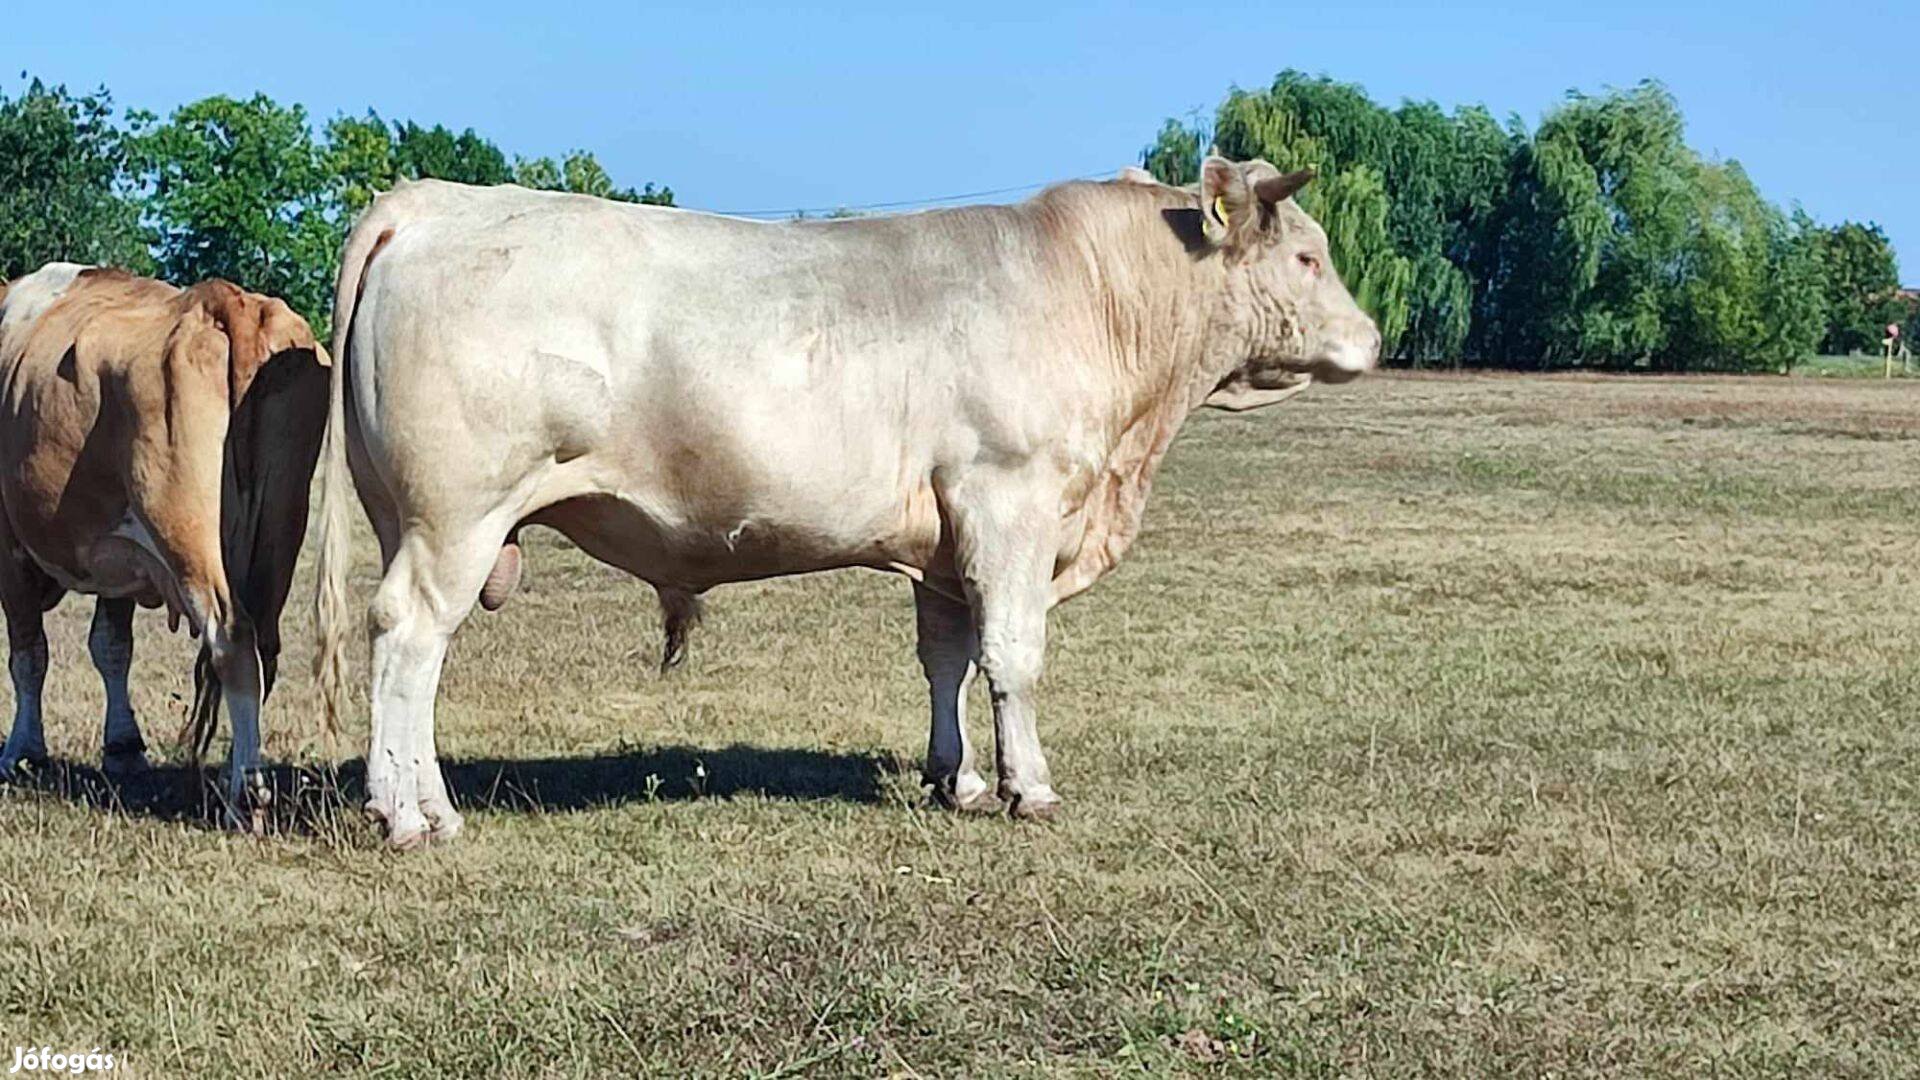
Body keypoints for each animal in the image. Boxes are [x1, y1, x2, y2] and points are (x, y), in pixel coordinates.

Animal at [0, 261, 328, 814]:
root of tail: (224, 300)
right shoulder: (114, 551)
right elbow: (111, 646)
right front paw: (123, 747)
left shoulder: (11, 548)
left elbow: (29, 656)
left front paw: (24, 752)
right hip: (281, 524)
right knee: (264, 643)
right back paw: (242, 766)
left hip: (185, 533)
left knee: (232, 636)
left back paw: (246, 789)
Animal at [314, 155, 1374, 845]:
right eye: (1308, 257)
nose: (1369, 341)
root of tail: (434, 201)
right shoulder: (1011, 500)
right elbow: (1013, 656)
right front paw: (1028, 788)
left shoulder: (947, 539)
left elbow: (947, 658)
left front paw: (958, 779)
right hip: (455, 519)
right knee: (408, 639)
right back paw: (409, 815)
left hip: (407, 515)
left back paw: (424, 802)